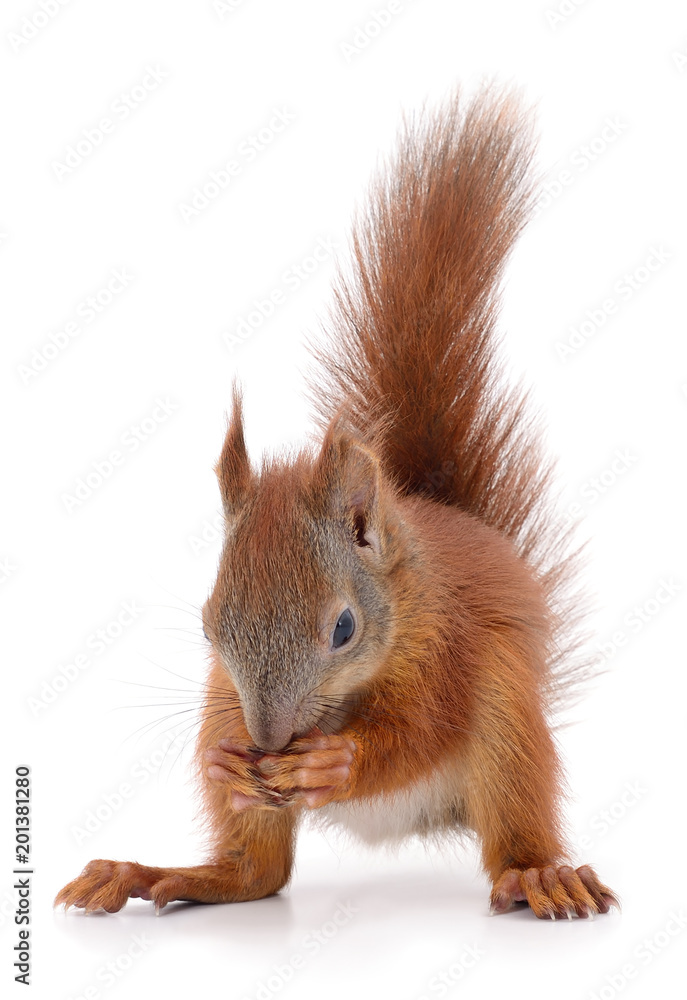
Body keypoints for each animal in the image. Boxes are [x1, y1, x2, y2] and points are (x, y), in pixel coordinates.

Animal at [55, 85, 619, 920]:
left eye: (344, 629)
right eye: (209, 623)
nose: (266, 741)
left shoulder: (451, 649)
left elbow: (419, 732)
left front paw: (336, 765)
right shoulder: (224, 689)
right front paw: (228, 760)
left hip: (509, 723)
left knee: (509, 830)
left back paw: (537, 876)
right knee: (259, 874)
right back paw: (158, 872)